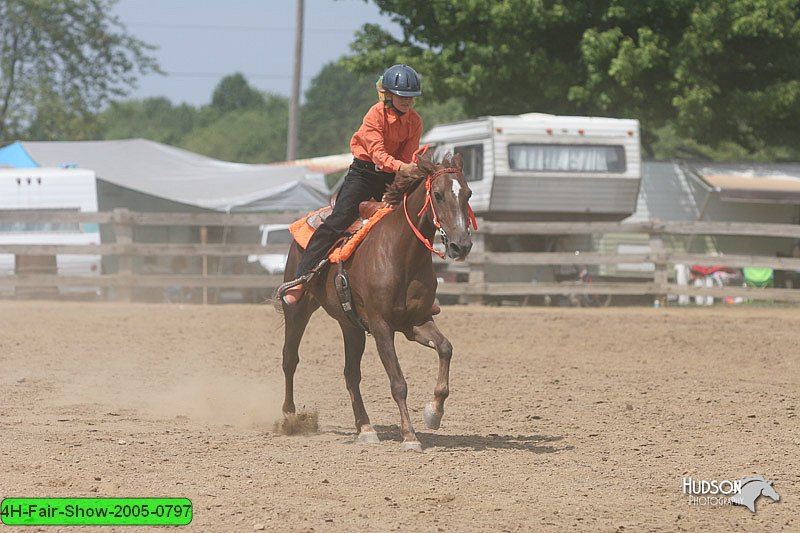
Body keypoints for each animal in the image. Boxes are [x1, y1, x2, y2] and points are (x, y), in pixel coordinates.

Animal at [278, 152, 476, 450]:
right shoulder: (382, 326)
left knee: (351, 373)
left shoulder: (416, 322)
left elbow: (445, 348)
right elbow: (398, 382)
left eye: (468, 193)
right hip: (298, 310)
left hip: (351, 326)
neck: (401, 254)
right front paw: (410, 435)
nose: (460, 246)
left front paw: (433, 413)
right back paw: (290, 418)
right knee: (290, 359)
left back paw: (365, 427)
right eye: (438, 195)